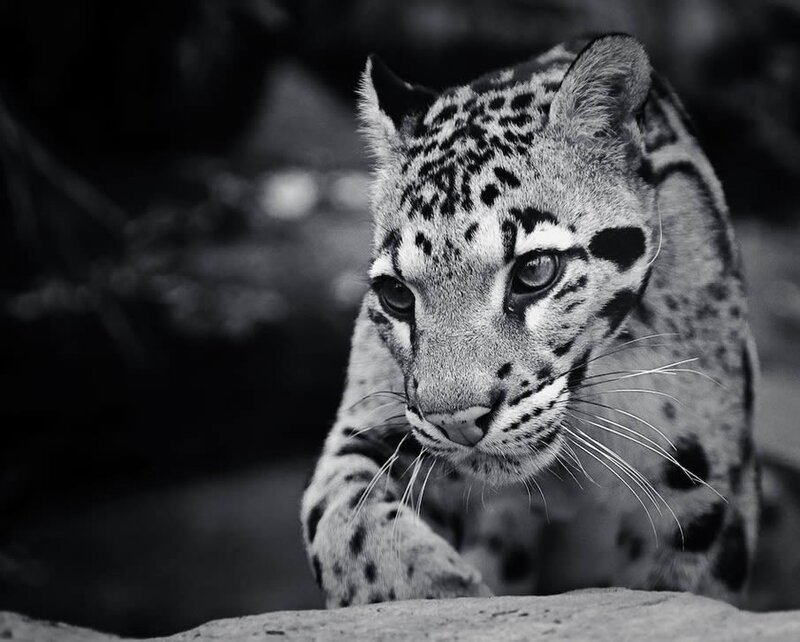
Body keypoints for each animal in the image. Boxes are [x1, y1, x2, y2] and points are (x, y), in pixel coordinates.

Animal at [300, 34, 760, 609]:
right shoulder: (380, 420)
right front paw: (430, 588)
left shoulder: (706, 492)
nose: (457, 422)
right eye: (397, 295)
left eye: (535, 271)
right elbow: (337, 512)